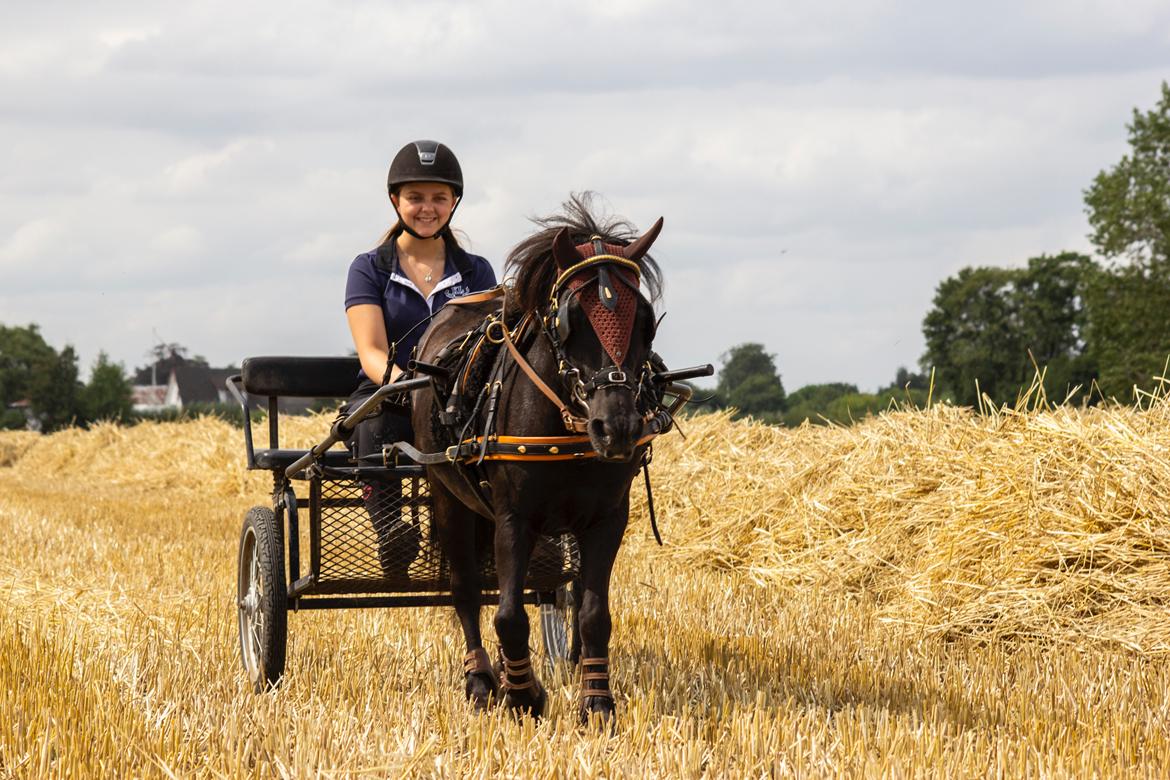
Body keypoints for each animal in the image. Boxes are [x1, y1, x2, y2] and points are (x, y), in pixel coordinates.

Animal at [411, 190, 669, 725]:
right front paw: (524, 696)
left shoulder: (608, 517)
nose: (617, 427)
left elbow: (592, 614)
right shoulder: (514, 517)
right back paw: (482, 680)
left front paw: (596, 702)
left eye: (646, 323)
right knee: (467, 591)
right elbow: (508, 614)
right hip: (449, 497)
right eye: (571, 320)